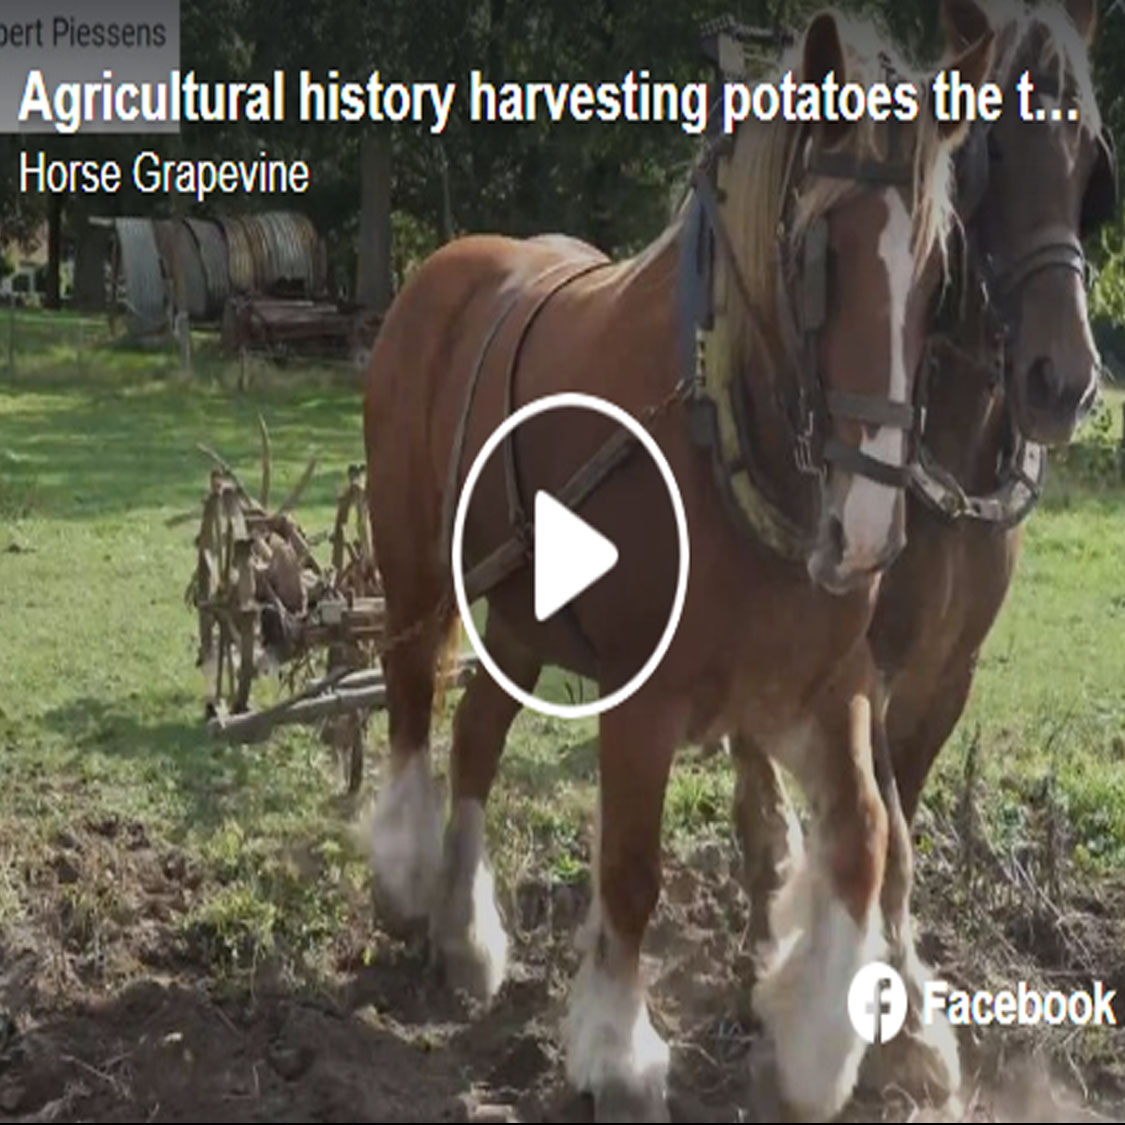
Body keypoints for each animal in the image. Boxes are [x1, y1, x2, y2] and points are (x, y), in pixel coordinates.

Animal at [360, 10, 994, 1125]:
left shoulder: (822, 687)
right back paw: (406, 875)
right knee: (407, 697)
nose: (867, 532)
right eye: (816, 254)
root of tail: (440, 271)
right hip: (416, 571)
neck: (721, 427)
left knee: (476, 735)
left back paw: (466, 933)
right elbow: (631, 867)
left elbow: (866, 840)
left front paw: (813, 1048)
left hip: (522, 613)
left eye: (936, 271)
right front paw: (618, 1052)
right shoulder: (643, 700)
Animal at [729, 0, 1116, 1111]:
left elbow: (901, 811)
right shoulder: (863, 657)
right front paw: (903, 1027)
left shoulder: (950, 671)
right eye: (986, 155)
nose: (1061, 380)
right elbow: (893, 835)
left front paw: (884, 979)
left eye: (1090, 160)